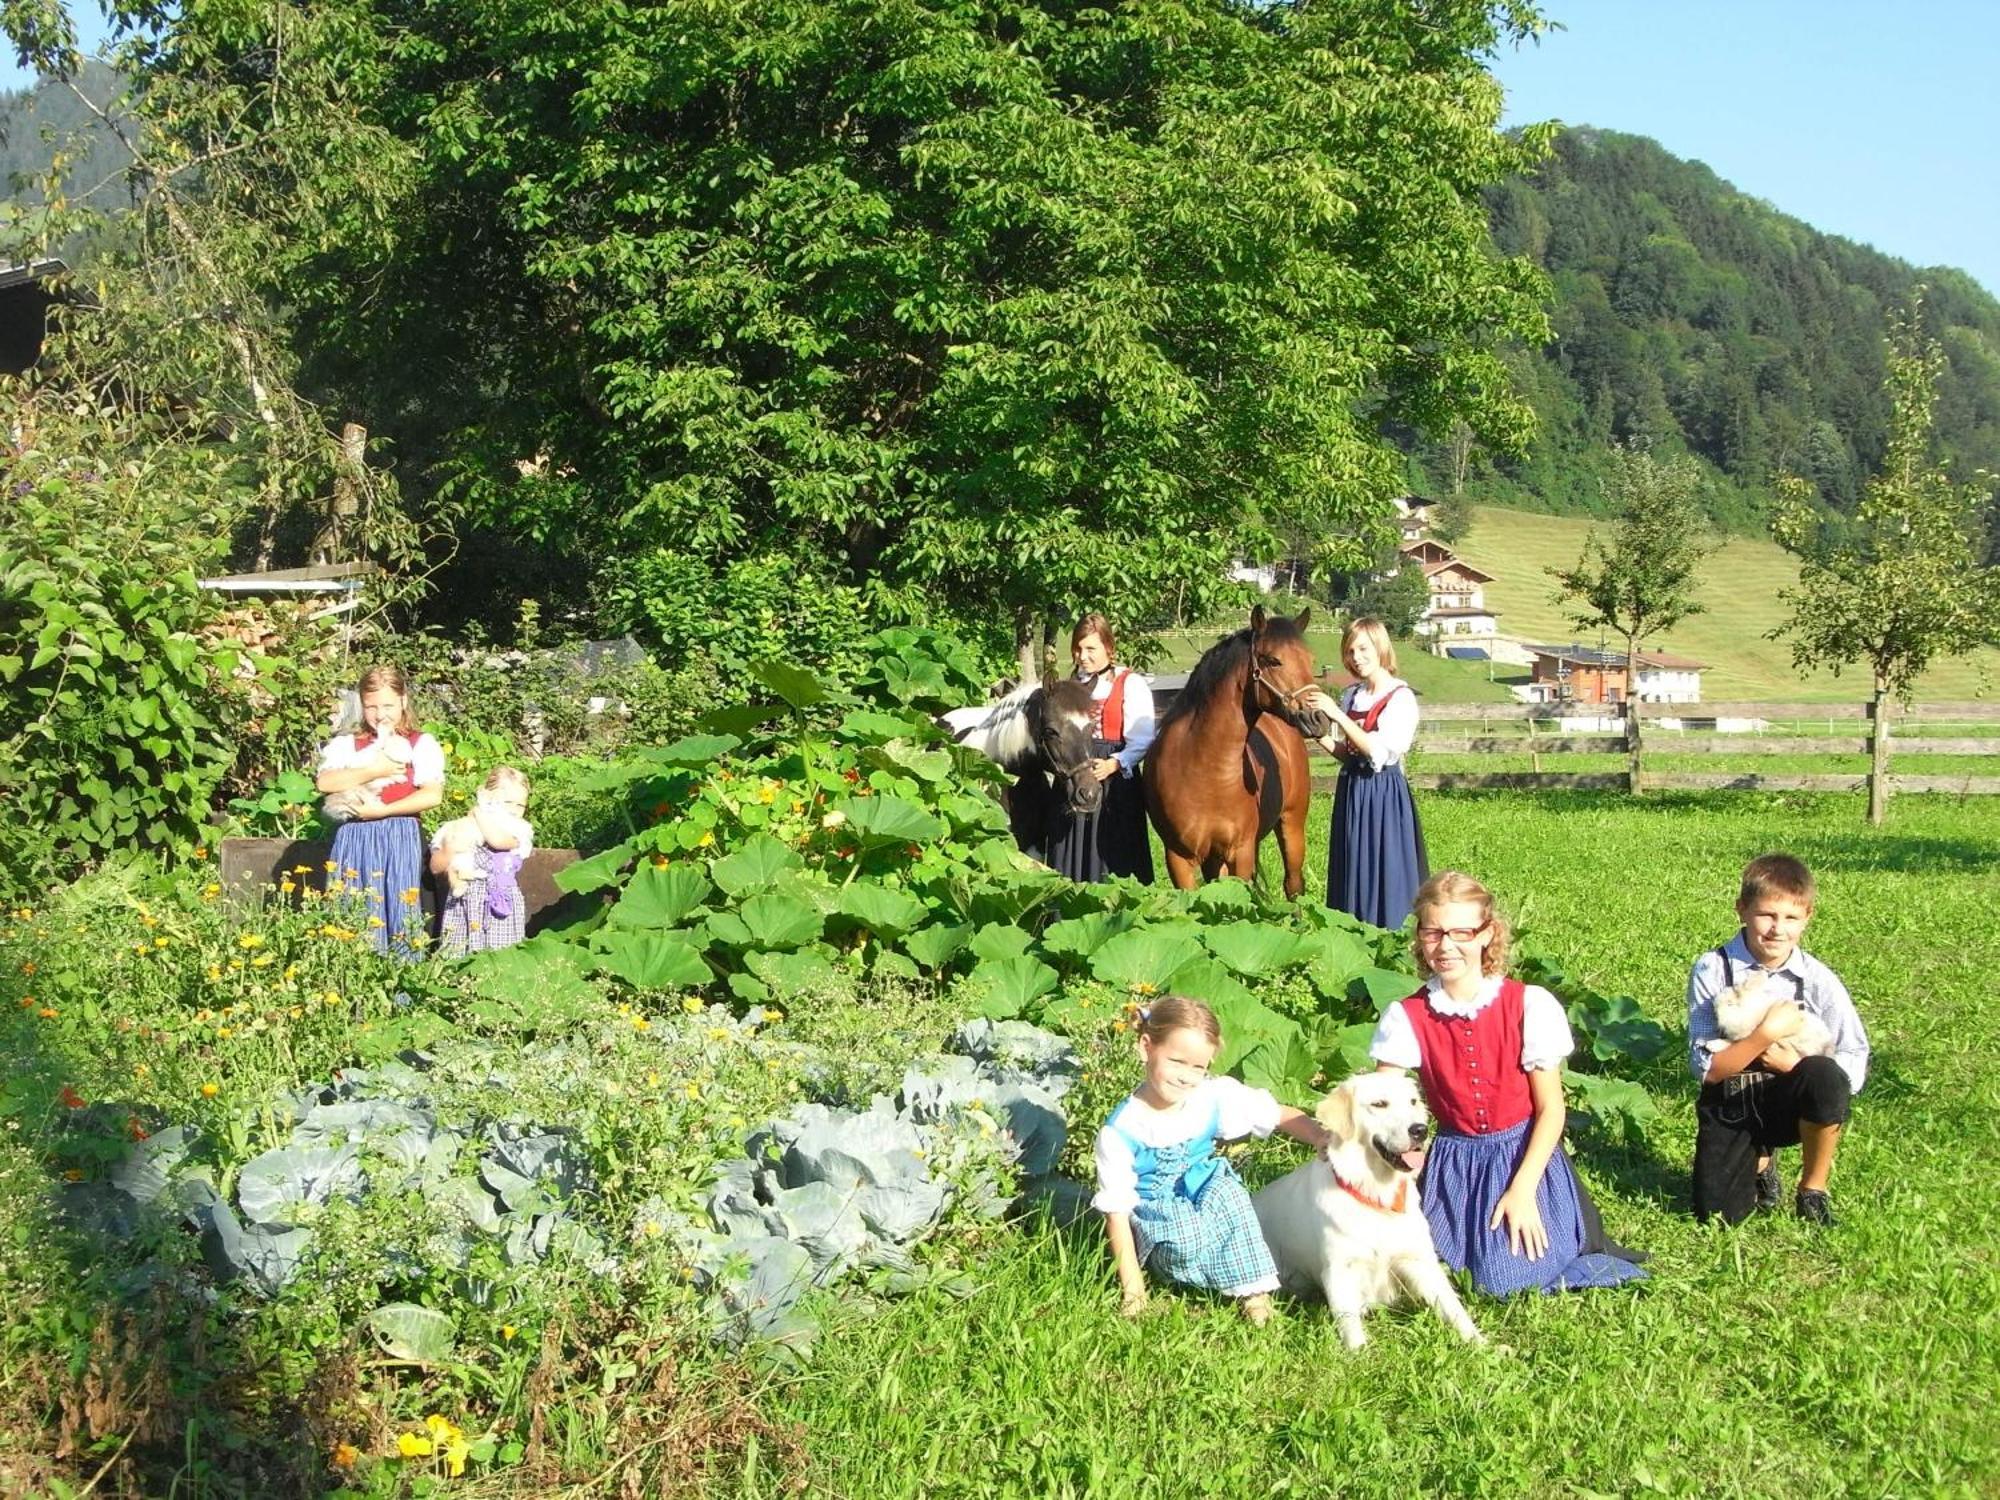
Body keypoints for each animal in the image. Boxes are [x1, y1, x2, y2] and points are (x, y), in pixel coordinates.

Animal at [1144, 604, 1328, 900]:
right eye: (1273, 660)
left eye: (1310, 660)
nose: (1319, 718)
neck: (1204, 769)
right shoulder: (1179, 859)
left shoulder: (1239, 854)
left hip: (1292, 825)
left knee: (1293, 886)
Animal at [1248, 1072, 1488, 1360]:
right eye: (1379, 1104)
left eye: (1413, 1101)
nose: (1420, 1130)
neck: (1377, 1196)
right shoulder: (1339, 1269)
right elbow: (1349, 1322)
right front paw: (1359, 1356)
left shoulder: (1419, 1260)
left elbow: (1452, 1306)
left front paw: (1480, 1343)